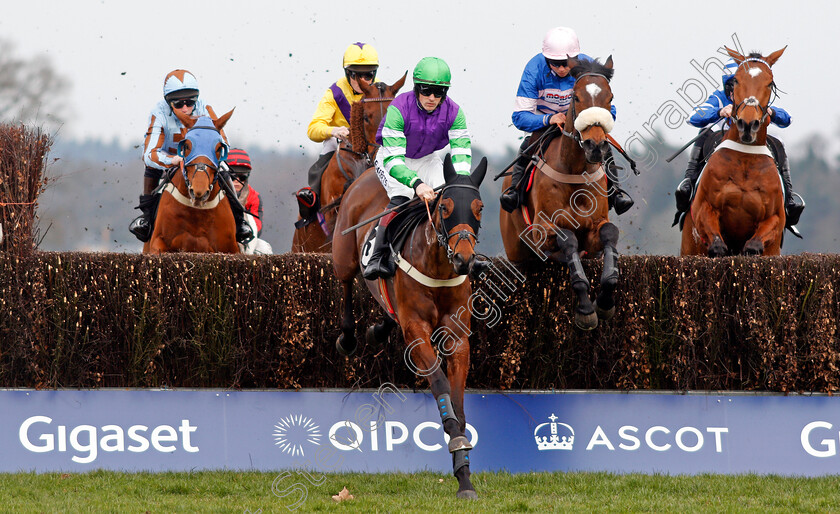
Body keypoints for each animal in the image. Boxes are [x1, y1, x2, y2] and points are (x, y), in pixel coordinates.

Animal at [144, 109, 236, 253]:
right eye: (186, 145)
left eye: (219, 148)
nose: (199, 192)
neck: (196, 212)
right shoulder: (157, 241)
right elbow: (152, 152)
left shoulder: (232, 248)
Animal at [328, 155, 486, 496]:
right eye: (445, 207)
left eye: (479, 207)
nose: (464, 260)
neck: (438, 268)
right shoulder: (416, 332)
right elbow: (440, 384)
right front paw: (456, 444)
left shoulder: (457, 336)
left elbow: (458, 400)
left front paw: (464, 472)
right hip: (343, 254)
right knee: (346, 285)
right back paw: (348, 338)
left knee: (388, 311)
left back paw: (378, 330)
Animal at [502, 56, 620, 328]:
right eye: (576, 97)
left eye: (609, 97)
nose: (595, 146)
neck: (574, 171)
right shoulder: (542, 230)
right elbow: (568, 240)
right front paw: (586, 309)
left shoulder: (595, 227)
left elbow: (609, 232)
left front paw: (605, 302)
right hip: (515, 248)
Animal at [680, 46, 792, 256]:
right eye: (737, 80)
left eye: (770, 83)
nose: (747, 124)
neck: (745, 160)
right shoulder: (703, 208)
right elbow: (717, 244)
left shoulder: (775, 218)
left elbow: (754, 244)